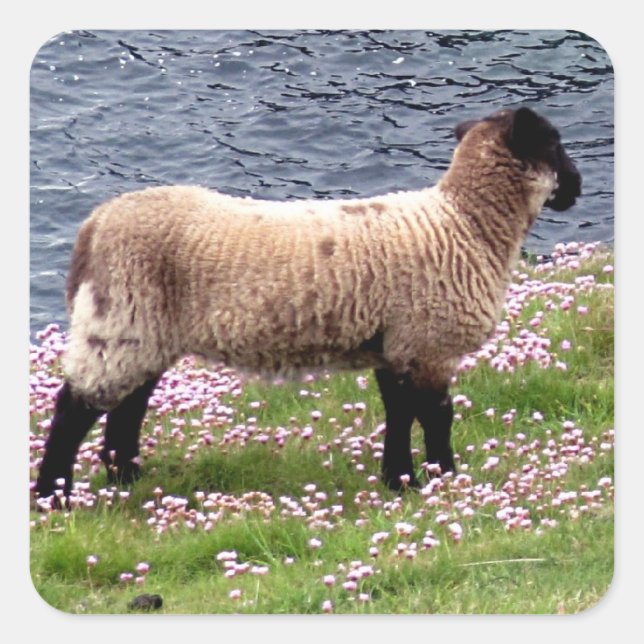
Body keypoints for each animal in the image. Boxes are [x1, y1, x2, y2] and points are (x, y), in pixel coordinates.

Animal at [35, 106, 581, 500]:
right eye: (555, 143)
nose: (578, 189)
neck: (465, 223)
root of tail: (95, 224)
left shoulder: (395, 345)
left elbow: (398, 414)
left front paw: (398, 481)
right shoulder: (428, 344)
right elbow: (436, 417)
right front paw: (447, 477)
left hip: (142, 329)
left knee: (127, 407)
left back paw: (126, 478)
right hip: (120, 317)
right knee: (73, 408)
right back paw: (53, 496)